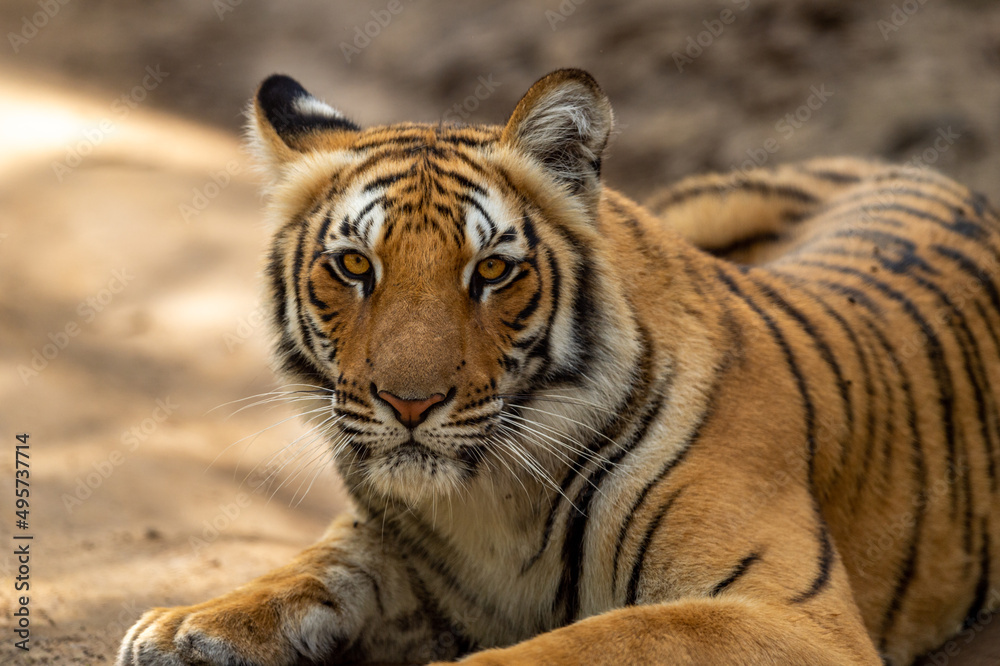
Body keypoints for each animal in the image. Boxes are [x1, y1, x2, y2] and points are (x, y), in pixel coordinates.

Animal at [116, 69, 1000, 666]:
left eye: (492, 271)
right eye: (355, 265)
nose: (410, 403)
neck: (488, 502)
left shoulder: (790, 615)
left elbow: (596, 643)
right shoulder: (394, 546)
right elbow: (320, 565)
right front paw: (189, 627)